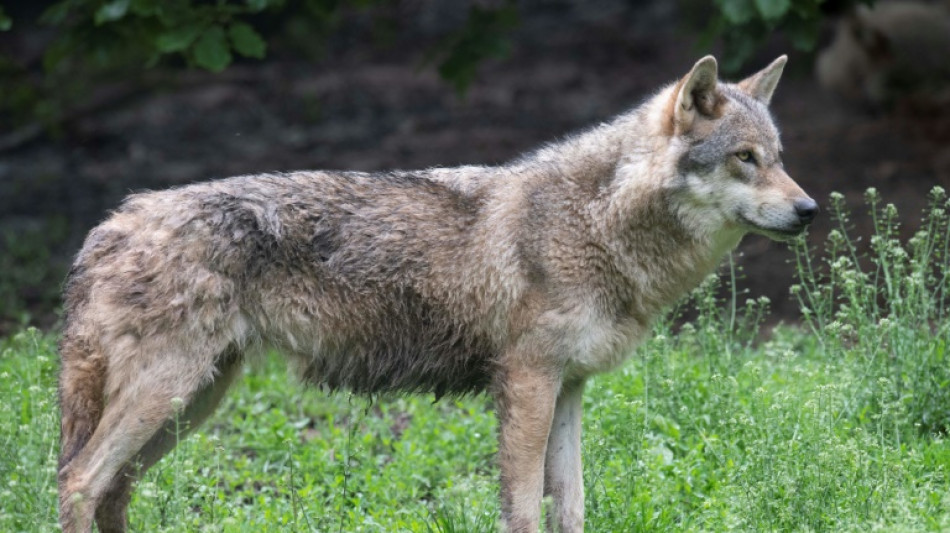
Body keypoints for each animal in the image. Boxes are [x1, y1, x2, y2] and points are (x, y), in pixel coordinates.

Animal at [57, 55, 820, 532]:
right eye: (744, 159)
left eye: (779, 158)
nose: (809, 209)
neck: (593, 223)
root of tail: (109, 223)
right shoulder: (527, 382)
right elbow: (523, 509)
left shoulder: (570, 387)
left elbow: (572, 507)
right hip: (169, 396)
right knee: (79, 483)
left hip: (192, 403)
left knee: (112, 491)